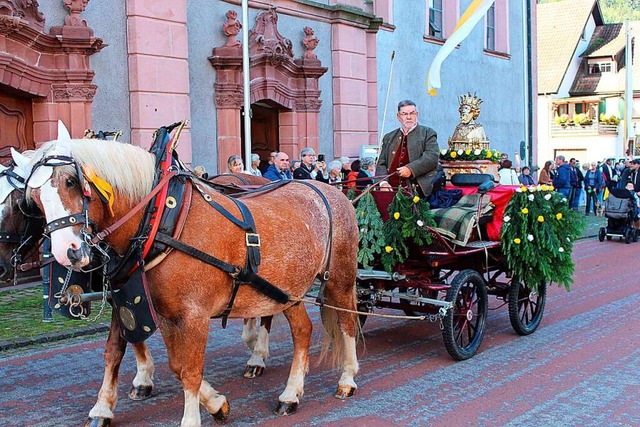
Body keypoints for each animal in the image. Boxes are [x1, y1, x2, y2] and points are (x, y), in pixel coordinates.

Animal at [26, 139, 360, 426]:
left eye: (71, 182)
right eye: (34, 199)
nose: (66, 252)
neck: (163, 220)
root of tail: (330, 191)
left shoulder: (194, 315)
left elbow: (190, 369)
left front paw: (191, 418)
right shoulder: (159, 310)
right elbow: (163, 361)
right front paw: (216, 403)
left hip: (340, 280)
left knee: (346, 324)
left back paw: (347, 378)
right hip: (286, 289)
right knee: (302, 331)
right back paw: (290, 394)